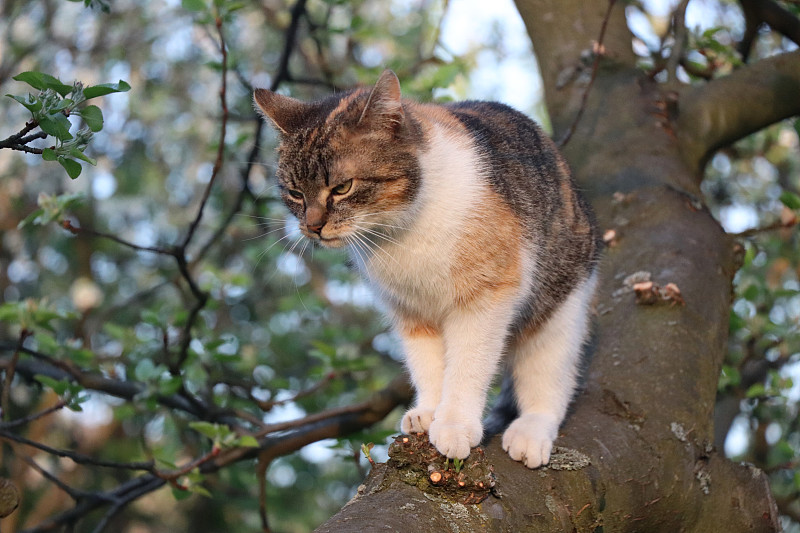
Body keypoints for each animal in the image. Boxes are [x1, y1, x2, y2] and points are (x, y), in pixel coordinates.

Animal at [253, 69, 596, 466]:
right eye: (295, 193)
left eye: (342, 187)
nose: (312, 227)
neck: (402, 231)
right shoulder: (410, 310)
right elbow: (428, 366)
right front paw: (431, 411)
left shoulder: (486, 297)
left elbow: (467, 365)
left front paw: (455, 423)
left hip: (559, 306)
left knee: (549, 379)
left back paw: (531, 431)